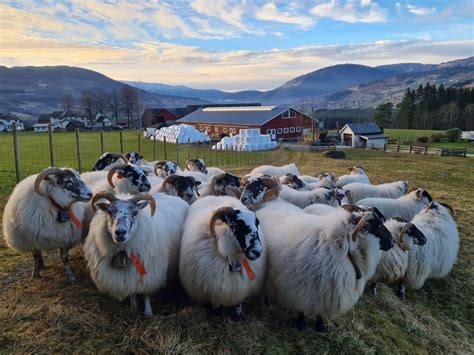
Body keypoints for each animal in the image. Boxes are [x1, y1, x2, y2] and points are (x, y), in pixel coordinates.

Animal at [258, 204, 394, 332]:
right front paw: (301, 323)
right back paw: (266, 302)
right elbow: (302, 305)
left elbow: (321, 310)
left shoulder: (327, 289)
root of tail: (269, 205)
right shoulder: (303, 285)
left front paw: (320, 325)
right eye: (378, 225)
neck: (343, 247)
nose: (392, 242)